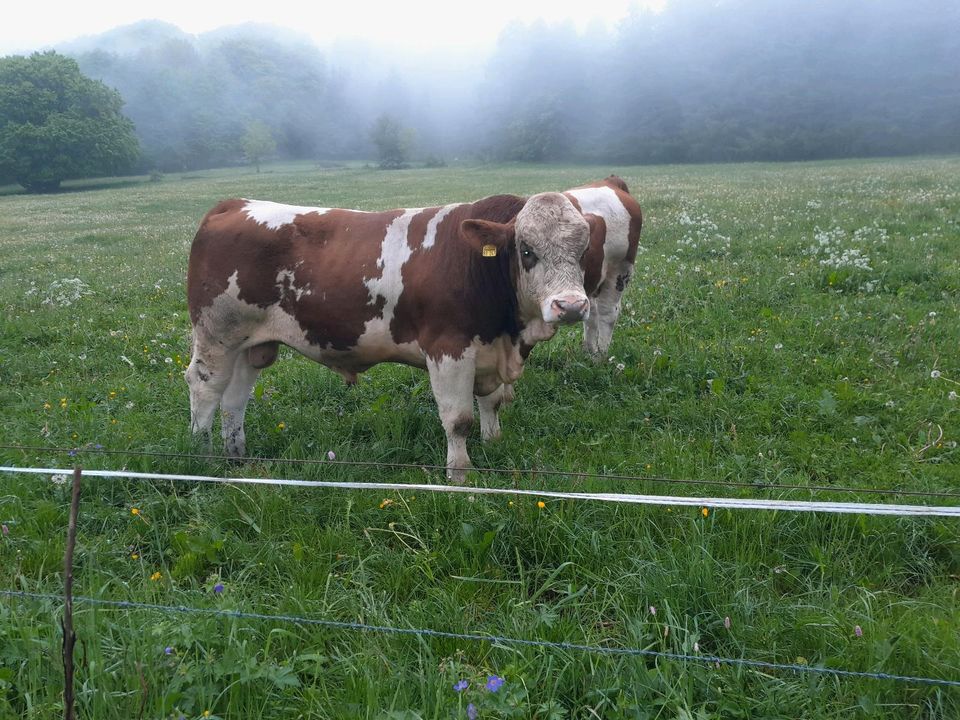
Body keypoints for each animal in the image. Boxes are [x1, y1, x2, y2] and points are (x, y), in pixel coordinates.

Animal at [188, 191, 600, 478]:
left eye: (582, 252)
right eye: (527, 251)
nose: (571, 305)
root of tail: (234, 204)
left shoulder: (489, 350)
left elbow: (493, 403)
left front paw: (493, 443)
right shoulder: (448, 350)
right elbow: (458, 420)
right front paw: (460, 475)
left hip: (251, 344)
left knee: (234, 398)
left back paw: (237, 456)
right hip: (216, 336)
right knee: (204, 387)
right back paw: (202, 456)